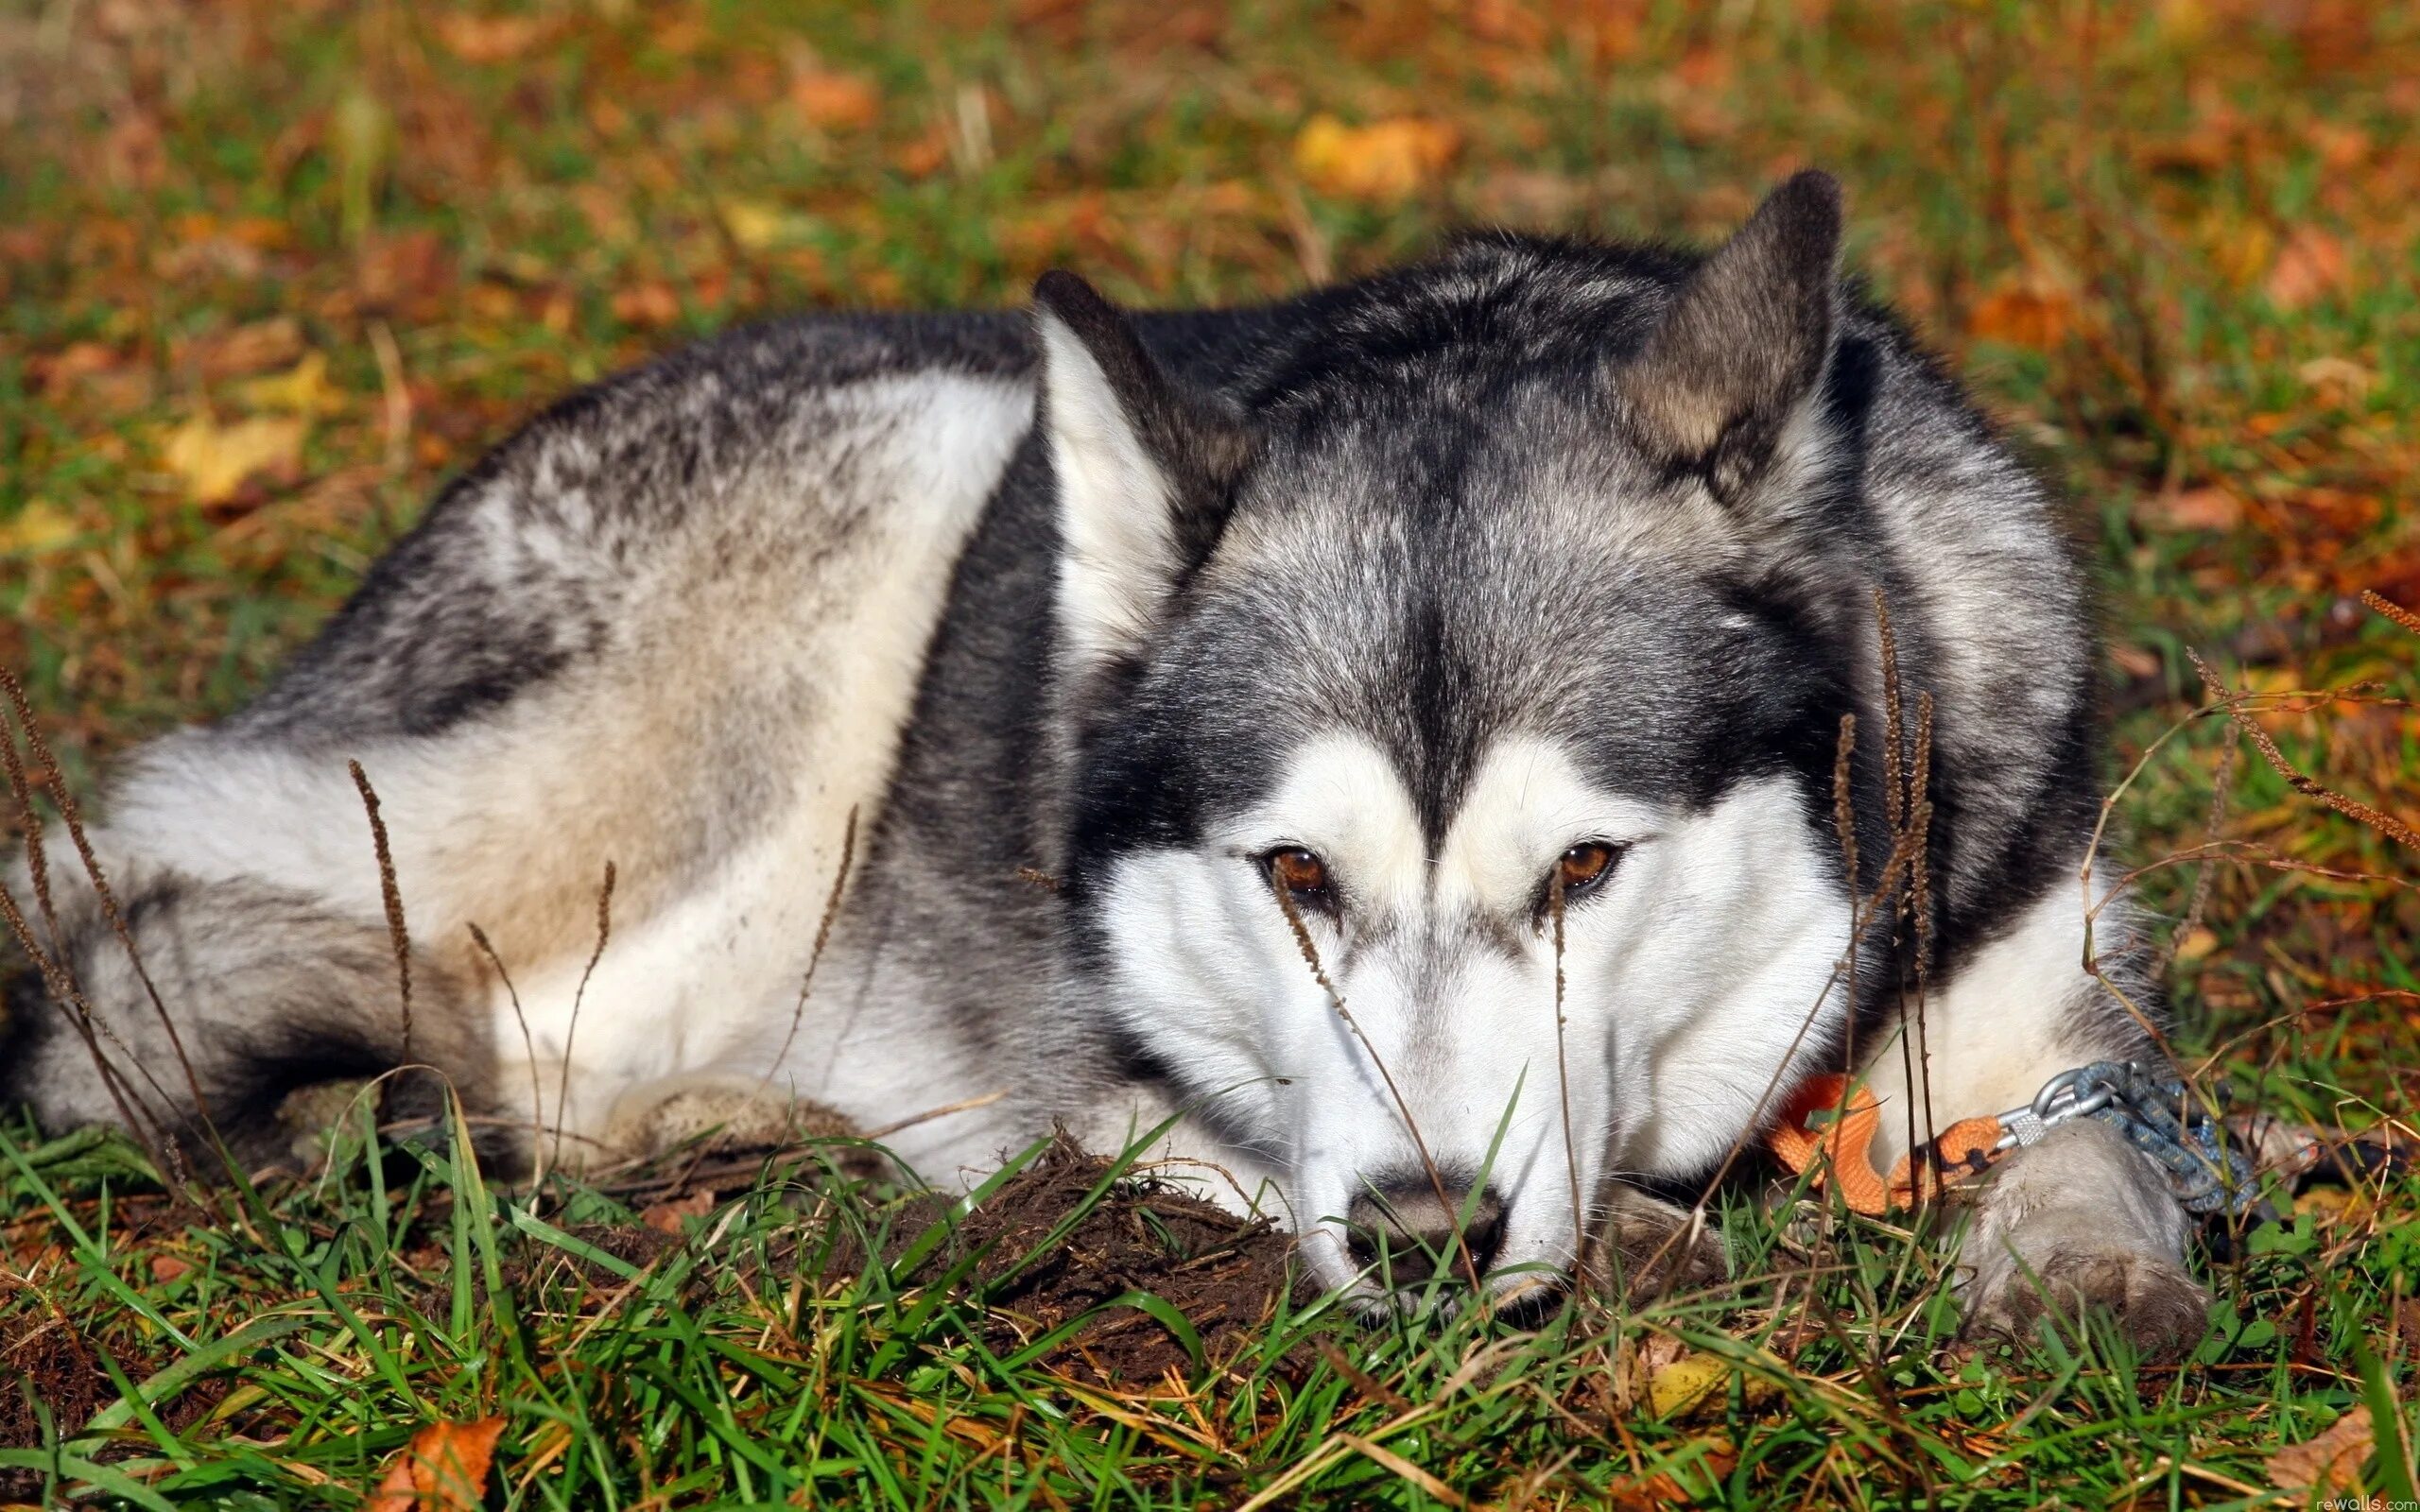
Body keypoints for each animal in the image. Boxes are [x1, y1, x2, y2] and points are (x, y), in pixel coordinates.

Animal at [0, 170, 2216, 1354]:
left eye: (1584, 870)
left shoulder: (2036, 975)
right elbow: (1188, 1146)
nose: (1429, 1237)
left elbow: (2103, 1126)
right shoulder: (1115, 1073)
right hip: (856, 520)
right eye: (1295, 878)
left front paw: (2083, 1264)